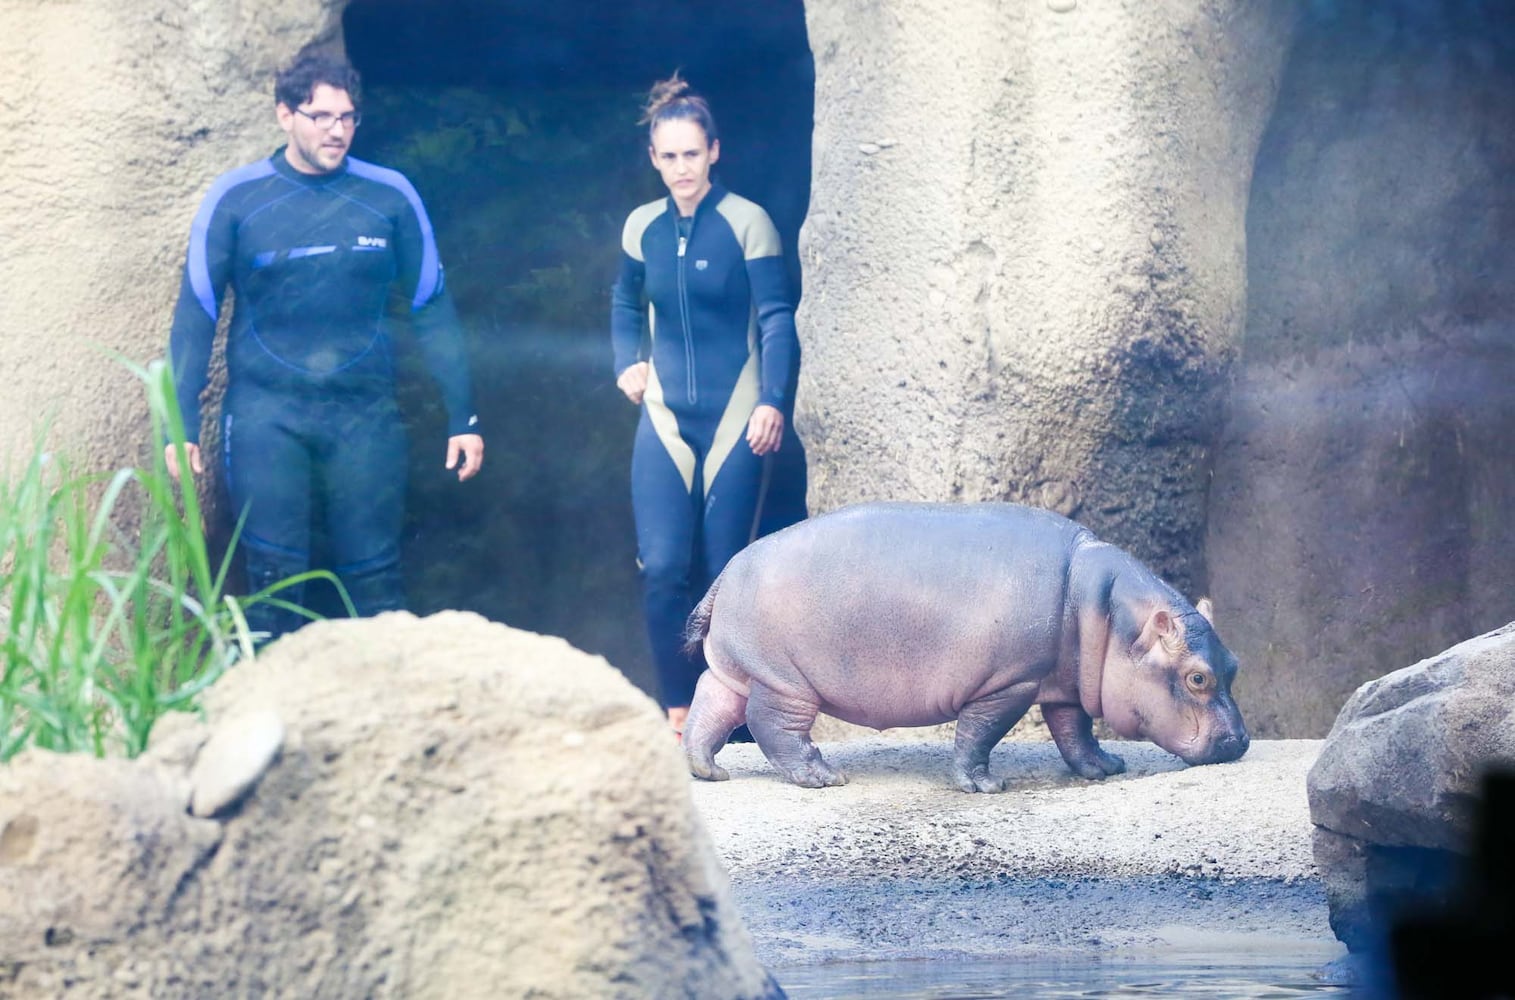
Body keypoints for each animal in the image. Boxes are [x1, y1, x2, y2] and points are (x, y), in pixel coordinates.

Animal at [681, 503, 1248, 793]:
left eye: (1234, 664)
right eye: (1197, 677)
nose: (1240, 741)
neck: (1108, 612)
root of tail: (727, 570)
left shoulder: (1063, 684)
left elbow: (1075, 732)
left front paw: (1105, 767)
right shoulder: (1010, 682)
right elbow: (980, 733)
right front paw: (982, 786)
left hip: (738, 668)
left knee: (710, 703)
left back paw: (708, 771)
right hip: (783, 679)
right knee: (772, 726)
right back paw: (823, 777)